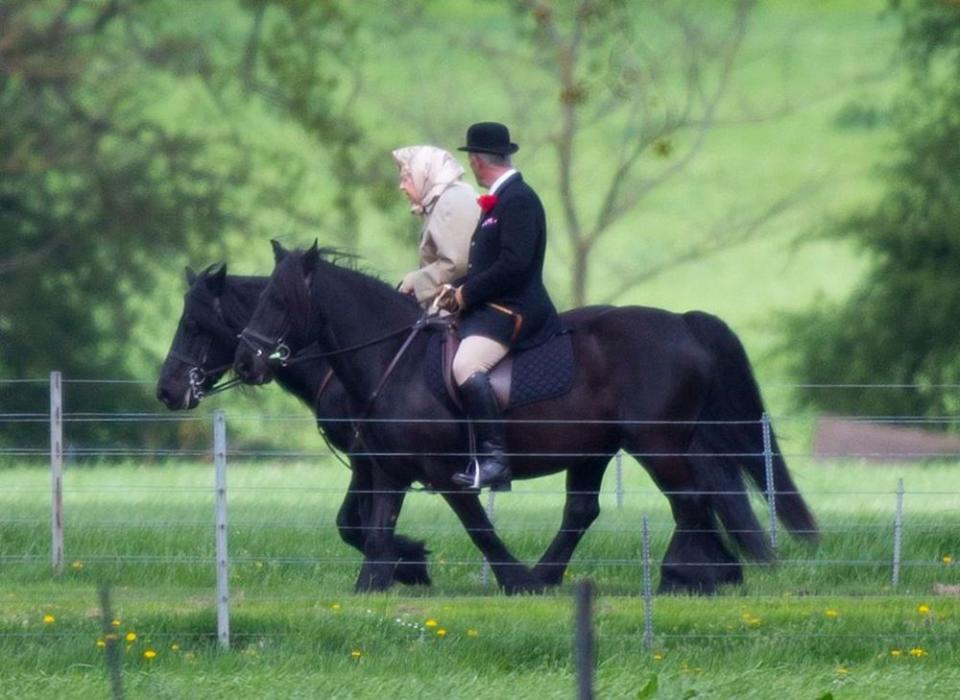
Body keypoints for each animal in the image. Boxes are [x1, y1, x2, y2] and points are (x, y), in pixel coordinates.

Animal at [156, 266, 434, 588]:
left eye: (192, 324)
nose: (165, 390)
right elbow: (353, 524)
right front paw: (408, 560)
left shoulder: (367, 459)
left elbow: (354, 525)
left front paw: (409, 563)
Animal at [232, 243, 816, 592]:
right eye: (256, 299)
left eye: (279, 300)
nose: (246, 362)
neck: (392, 359)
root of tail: (684, 323)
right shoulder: (388, 468)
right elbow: (375, 531)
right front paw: (374, 587)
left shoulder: (444, 473)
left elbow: (477, 526)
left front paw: (511, 579)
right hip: (596, 448)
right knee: (588, 510)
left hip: (657, 444)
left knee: (690, 500)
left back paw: (677, 576)